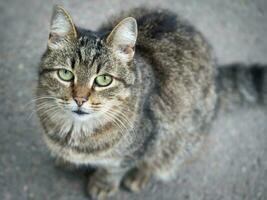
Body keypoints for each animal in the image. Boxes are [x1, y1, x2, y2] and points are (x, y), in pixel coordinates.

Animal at [36, 5, 219, 200]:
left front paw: (103, 184)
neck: (76, 132)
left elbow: (114, 169)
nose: (80, 99)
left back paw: (140, 175)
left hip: (182, 139)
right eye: (65, 74)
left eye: (104, 80)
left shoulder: (140, 145)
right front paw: (66, 160)